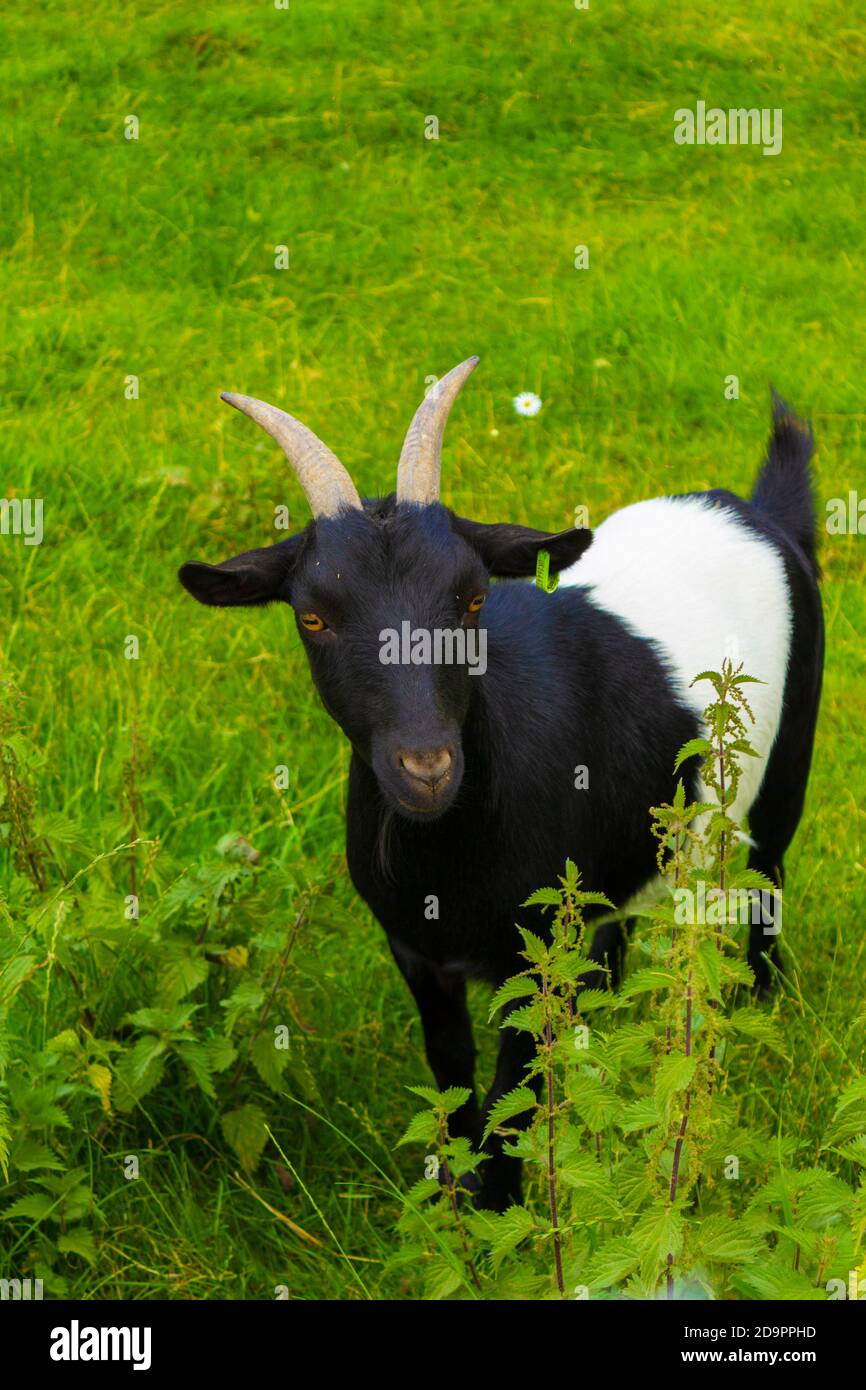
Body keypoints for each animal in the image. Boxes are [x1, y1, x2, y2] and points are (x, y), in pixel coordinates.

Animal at [179, 358, 823, 1210]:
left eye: (473, 598)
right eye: (312, 617)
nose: (427, 767)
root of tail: (755, 512)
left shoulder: (533, 958)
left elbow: (510, 1103)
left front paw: (500, 1215)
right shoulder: (416, 951)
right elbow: (452, 1078)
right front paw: (455, 1201)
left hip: (781, 768)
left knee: (766, 879)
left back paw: (760, 1008)